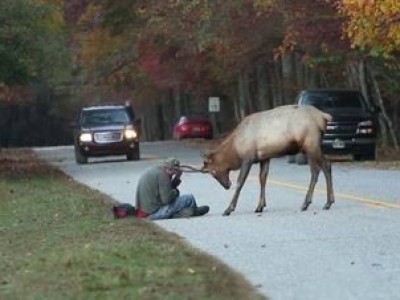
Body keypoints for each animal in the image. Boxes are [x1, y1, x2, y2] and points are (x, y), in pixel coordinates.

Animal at [203, 104, 334, 214]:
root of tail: (324, 116)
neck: (235, 150)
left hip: (312, 144)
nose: (227, 186)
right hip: (307, 148)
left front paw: (229, 209)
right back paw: (308, 203)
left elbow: (240, 182)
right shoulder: (265, 158)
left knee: (326, 165)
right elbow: (262, 179)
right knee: (315, 171)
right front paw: (260, 206)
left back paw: (327, 202)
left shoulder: (248, 158)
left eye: (213, 172)